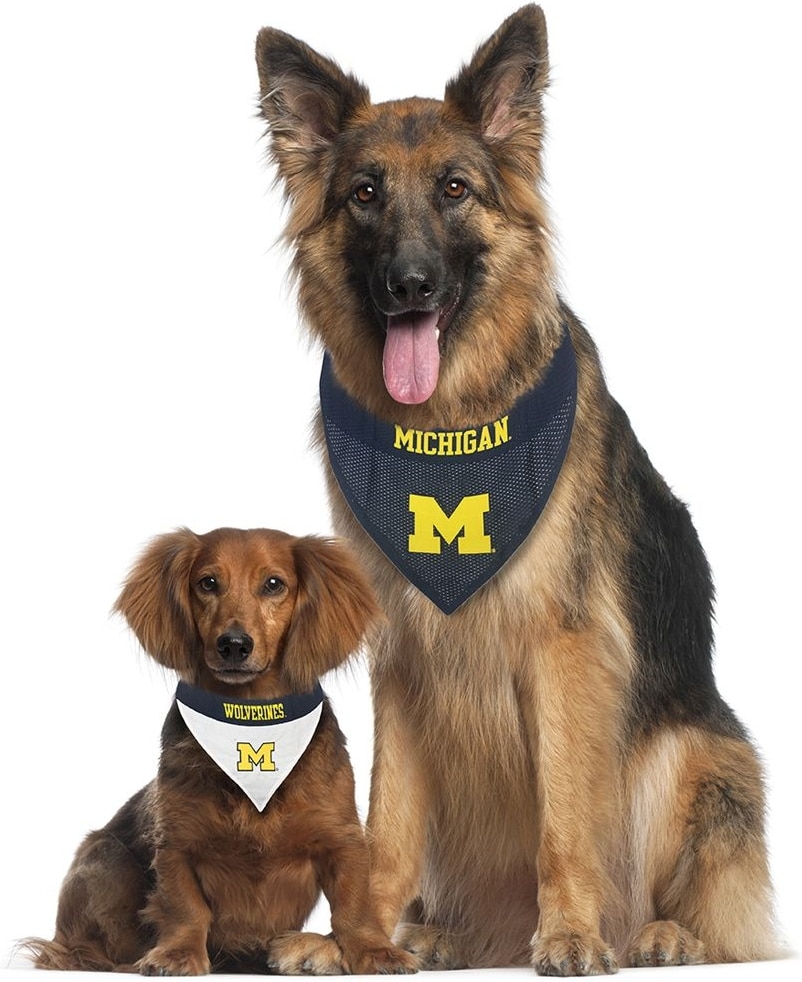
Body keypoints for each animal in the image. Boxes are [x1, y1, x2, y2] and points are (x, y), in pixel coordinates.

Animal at [25, 527, 416, 975]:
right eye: (208, 583)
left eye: (274, 584)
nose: (233, 645)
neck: (249, 721)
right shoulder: (176, 844)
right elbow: (185, 908)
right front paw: (178, 954)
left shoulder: (342, 839)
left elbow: (354, 906)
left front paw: (375, 951)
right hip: (106, 859)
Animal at [254, 5, 780, 975]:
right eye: (364, 195)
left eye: (456, 189)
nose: (409, 285)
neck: (451, 426)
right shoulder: (404, 657)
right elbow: (386, 820)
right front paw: (357, 939)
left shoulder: (562, 647)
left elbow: (564, 820)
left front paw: (570, 932)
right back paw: (440, 934)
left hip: (690, 753)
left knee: (709, 909)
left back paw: (656, 933)